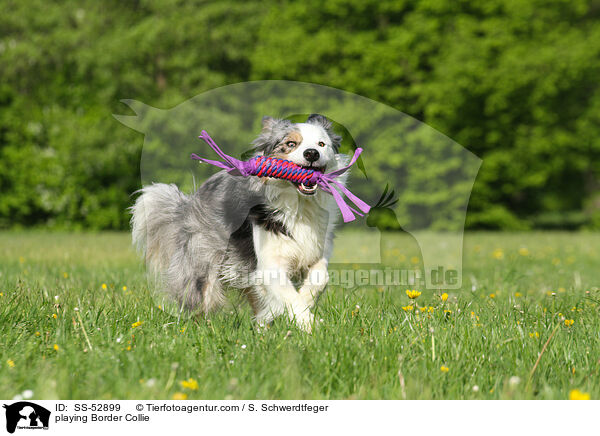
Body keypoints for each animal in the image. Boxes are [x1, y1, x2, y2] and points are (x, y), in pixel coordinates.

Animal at [129, 112, 350, 330]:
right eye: (291, 143)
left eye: (321, 144)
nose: (312, 153)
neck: (299, 205)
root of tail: (189, 202)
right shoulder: (269, 261)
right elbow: (287, 295)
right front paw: (308, 323)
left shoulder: (315, 249)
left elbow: (320, 280)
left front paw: (299, 309)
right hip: (205, 264)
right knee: (200, 303)